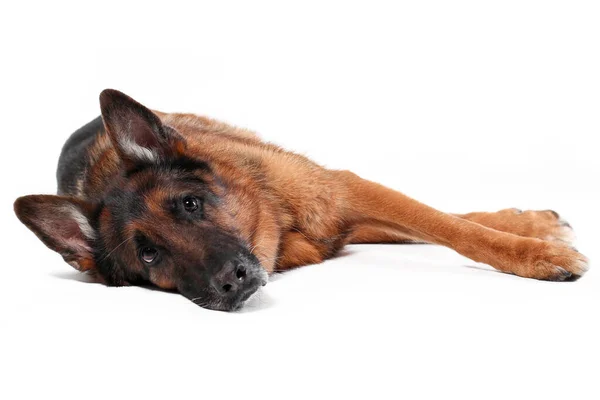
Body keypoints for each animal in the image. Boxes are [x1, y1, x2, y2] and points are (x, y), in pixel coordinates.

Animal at [14, 90, 592, 310]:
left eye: (189, 206)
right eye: (149, 255)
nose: (229, 282)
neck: (278, 225)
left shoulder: (345, 187)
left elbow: (453, 229)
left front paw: (536, 253)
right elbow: (435, 224)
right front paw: (535, 244)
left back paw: (532, 223)